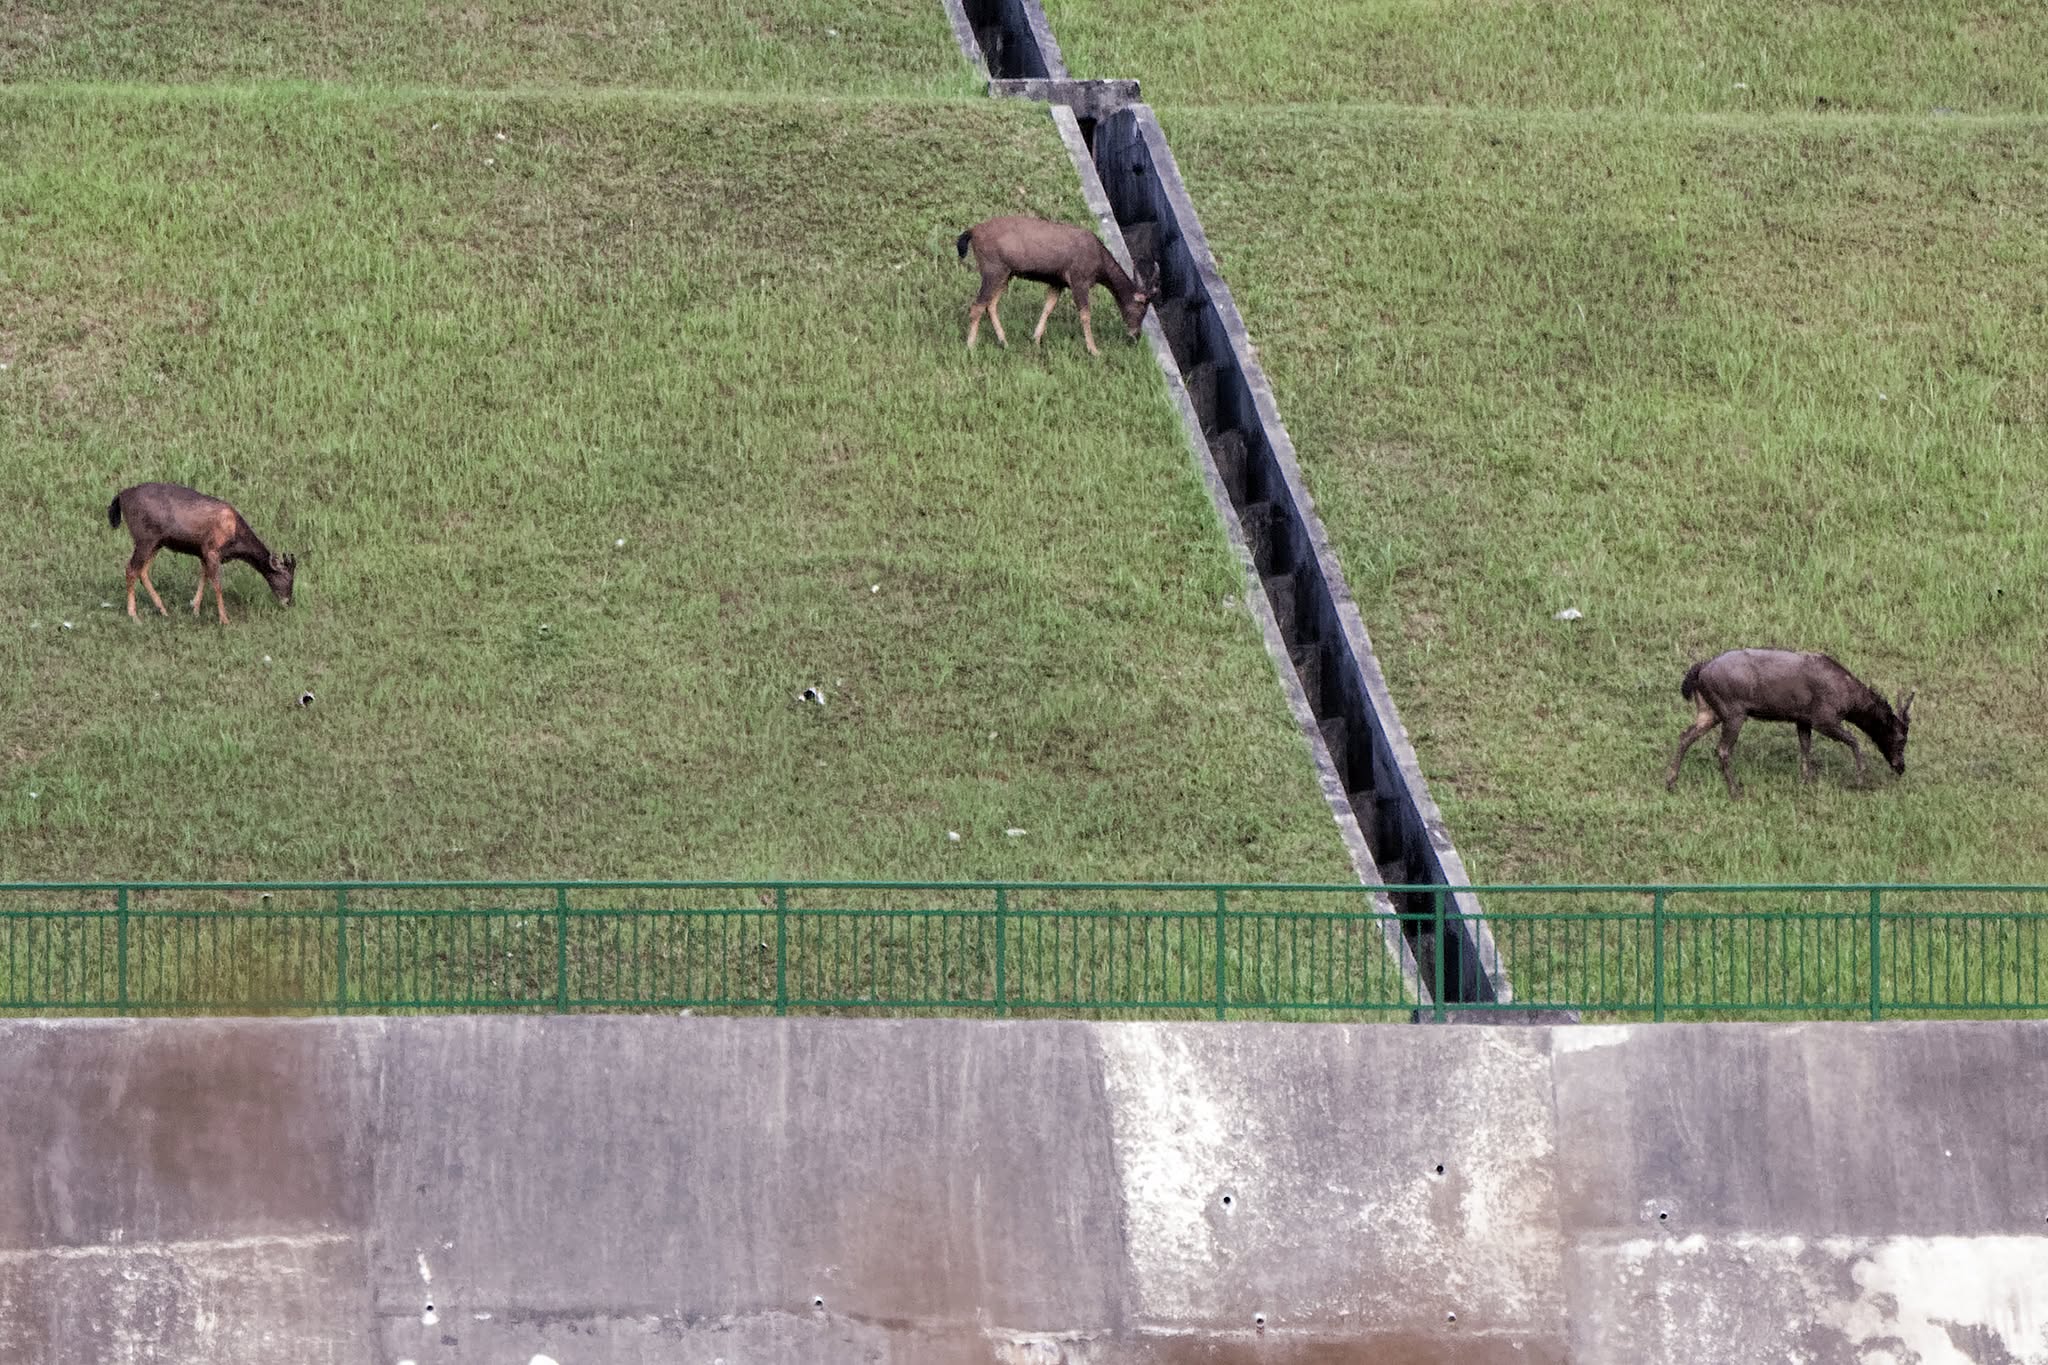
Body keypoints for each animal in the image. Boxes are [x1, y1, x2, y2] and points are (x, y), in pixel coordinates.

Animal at [108, 482, 297, 625]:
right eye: (286, 577)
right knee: (131, 569)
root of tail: (121, 496)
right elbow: (217, 583)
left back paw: (163, 610)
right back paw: (134, 615)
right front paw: (224, 619)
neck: (234, 535)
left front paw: (195, 609)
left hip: (156, 543)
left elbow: (204, 576)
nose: (288, 601)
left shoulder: (202, 553)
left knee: (142, 571)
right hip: (145, 539)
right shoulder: (211, 549)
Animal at [956, 215, 1156, 357]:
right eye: (1141, 308)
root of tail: (971, 232)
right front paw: (1094, 350)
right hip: (993, 268)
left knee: (990, 304)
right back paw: (970, 346)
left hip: (1006, 273)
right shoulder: (1079, 279)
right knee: (977, 305)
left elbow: (1048, 307)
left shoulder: (1057, 282)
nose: (1136, 336)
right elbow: (1085, 314)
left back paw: (1004, 341)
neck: (1100, 267)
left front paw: (1036, 339)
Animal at [1666, 649, 1912, 799]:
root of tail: (1700, 671)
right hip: (1733, 711)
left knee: (1684, 736)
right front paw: (1859, 779)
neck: (1850, 701)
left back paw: (1671, 782)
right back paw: (1735, 790)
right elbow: (1854, 741)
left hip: (1709, 711)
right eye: (1901, 738)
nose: (1900, 766)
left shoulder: (1803, 719)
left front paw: (1805, 781)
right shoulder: (1824, 718)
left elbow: (1805, 747)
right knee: (1722, 749)